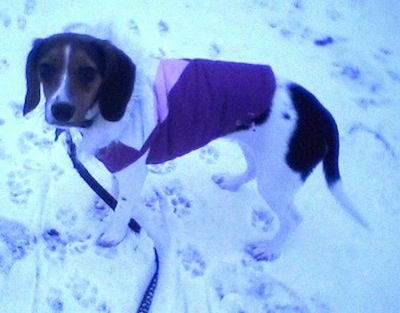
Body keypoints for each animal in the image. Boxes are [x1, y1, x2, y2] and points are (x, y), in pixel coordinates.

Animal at [24, 29, 368, 310]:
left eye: (88, 72)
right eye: (46, 68)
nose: (60, 110)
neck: (106, 110)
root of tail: (320, 111)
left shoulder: (135, 167)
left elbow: (123, 208)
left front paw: (113, 234)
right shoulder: (119, 161)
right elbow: (115, 187)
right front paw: (105, 199)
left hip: (277, 179)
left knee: (293, 218)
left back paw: (270, 249)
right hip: (257, 150)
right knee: (252, 170)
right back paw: (231, 182)